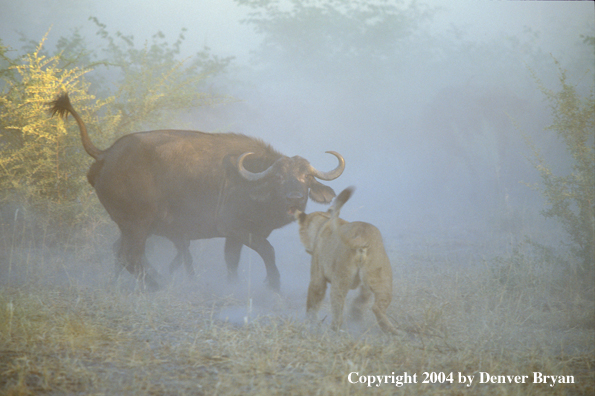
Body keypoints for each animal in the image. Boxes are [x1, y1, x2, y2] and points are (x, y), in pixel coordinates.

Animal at [50, 93, 344, 290]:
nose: (295, 197)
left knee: (121, 253)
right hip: (138, 223)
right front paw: (273, 285)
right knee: (130, 256)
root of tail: (107, 153)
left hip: (129, 226)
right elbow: (268, 252)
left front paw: (233, 286)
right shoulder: (235, 228)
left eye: (306, 177)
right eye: (280, 177)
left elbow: (232, 261)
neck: (252, 181)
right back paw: (158, 285)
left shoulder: (235, 236)